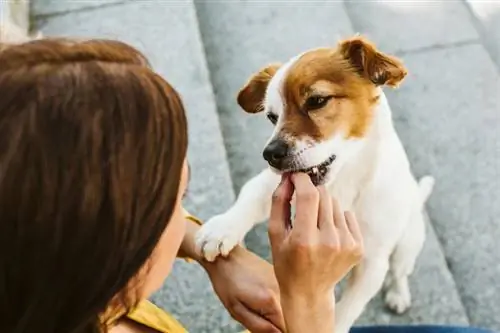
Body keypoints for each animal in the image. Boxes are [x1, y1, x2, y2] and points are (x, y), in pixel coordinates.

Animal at [193, 35, 436, 330]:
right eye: (271, 117)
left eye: (317, 101)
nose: (270, 154)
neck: (342, 181)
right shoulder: (272, 185)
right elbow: (250, 195)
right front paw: (222, 229)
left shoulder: (373, 264)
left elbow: (347, 309)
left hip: (406, 245)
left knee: (400, 272)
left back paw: (398, 294)